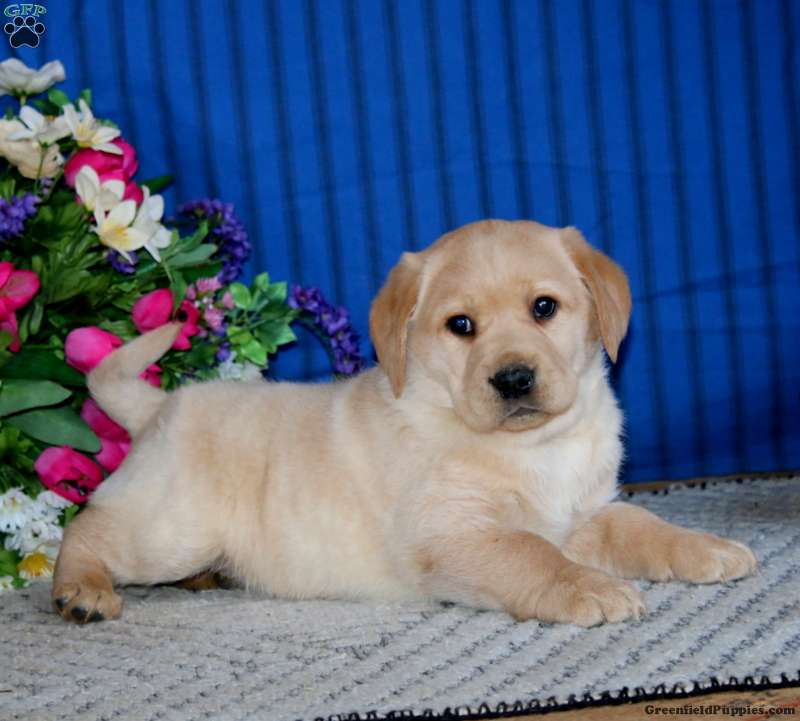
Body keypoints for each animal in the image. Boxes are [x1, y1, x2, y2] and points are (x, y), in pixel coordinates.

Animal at [52, 220, 757, 625]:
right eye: (461, 325)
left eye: (544, 308)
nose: (513, 379)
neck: (532, 446)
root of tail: (160, 406)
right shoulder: (453, 534)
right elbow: (532, 554)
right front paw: (593, 588)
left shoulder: (586, 510)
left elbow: (642, 524)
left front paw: (707, 548)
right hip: (170, 529)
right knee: (86, 529)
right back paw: (81, 592)